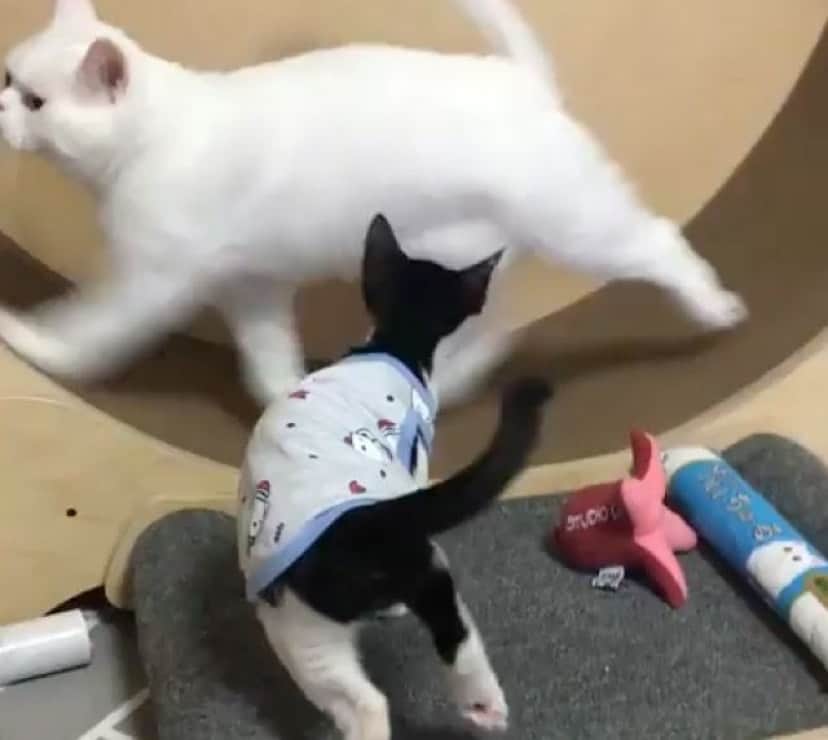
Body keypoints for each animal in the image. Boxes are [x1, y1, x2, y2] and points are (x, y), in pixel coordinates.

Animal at [0, 0, 746, 408]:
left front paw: (32, 341)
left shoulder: (152, 278)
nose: (0, 105)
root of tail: (518, 77)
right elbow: (270, 366)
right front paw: (290, 405)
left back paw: (715, 307)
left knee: (659, 243)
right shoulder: (252, 289)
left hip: (582, 227)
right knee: (493, 332)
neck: (157, 136)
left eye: (35, 101)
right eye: (8, 77)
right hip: (467, 265)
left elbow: (88, 331)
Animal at [238, 212, 551, 739]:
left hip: (299, 626)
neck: (395, 343)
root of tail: (361, 523)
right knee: (451, 626)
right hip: (414, 566)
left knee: (362, 702)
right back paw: (484, 704)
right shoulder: (416, 456)